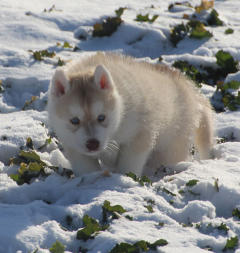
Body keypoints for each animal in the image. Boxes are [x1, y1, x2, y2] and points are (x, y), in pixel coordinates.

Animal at [47, 53, 214, 176]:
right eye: (74, 120)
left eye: (102, 117)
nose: (93, 144)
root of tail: (188, 86)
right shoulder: (73, 146)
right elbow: (86, 167)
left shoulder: (139, 134)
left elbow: (129, 164)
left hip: (171, 146)